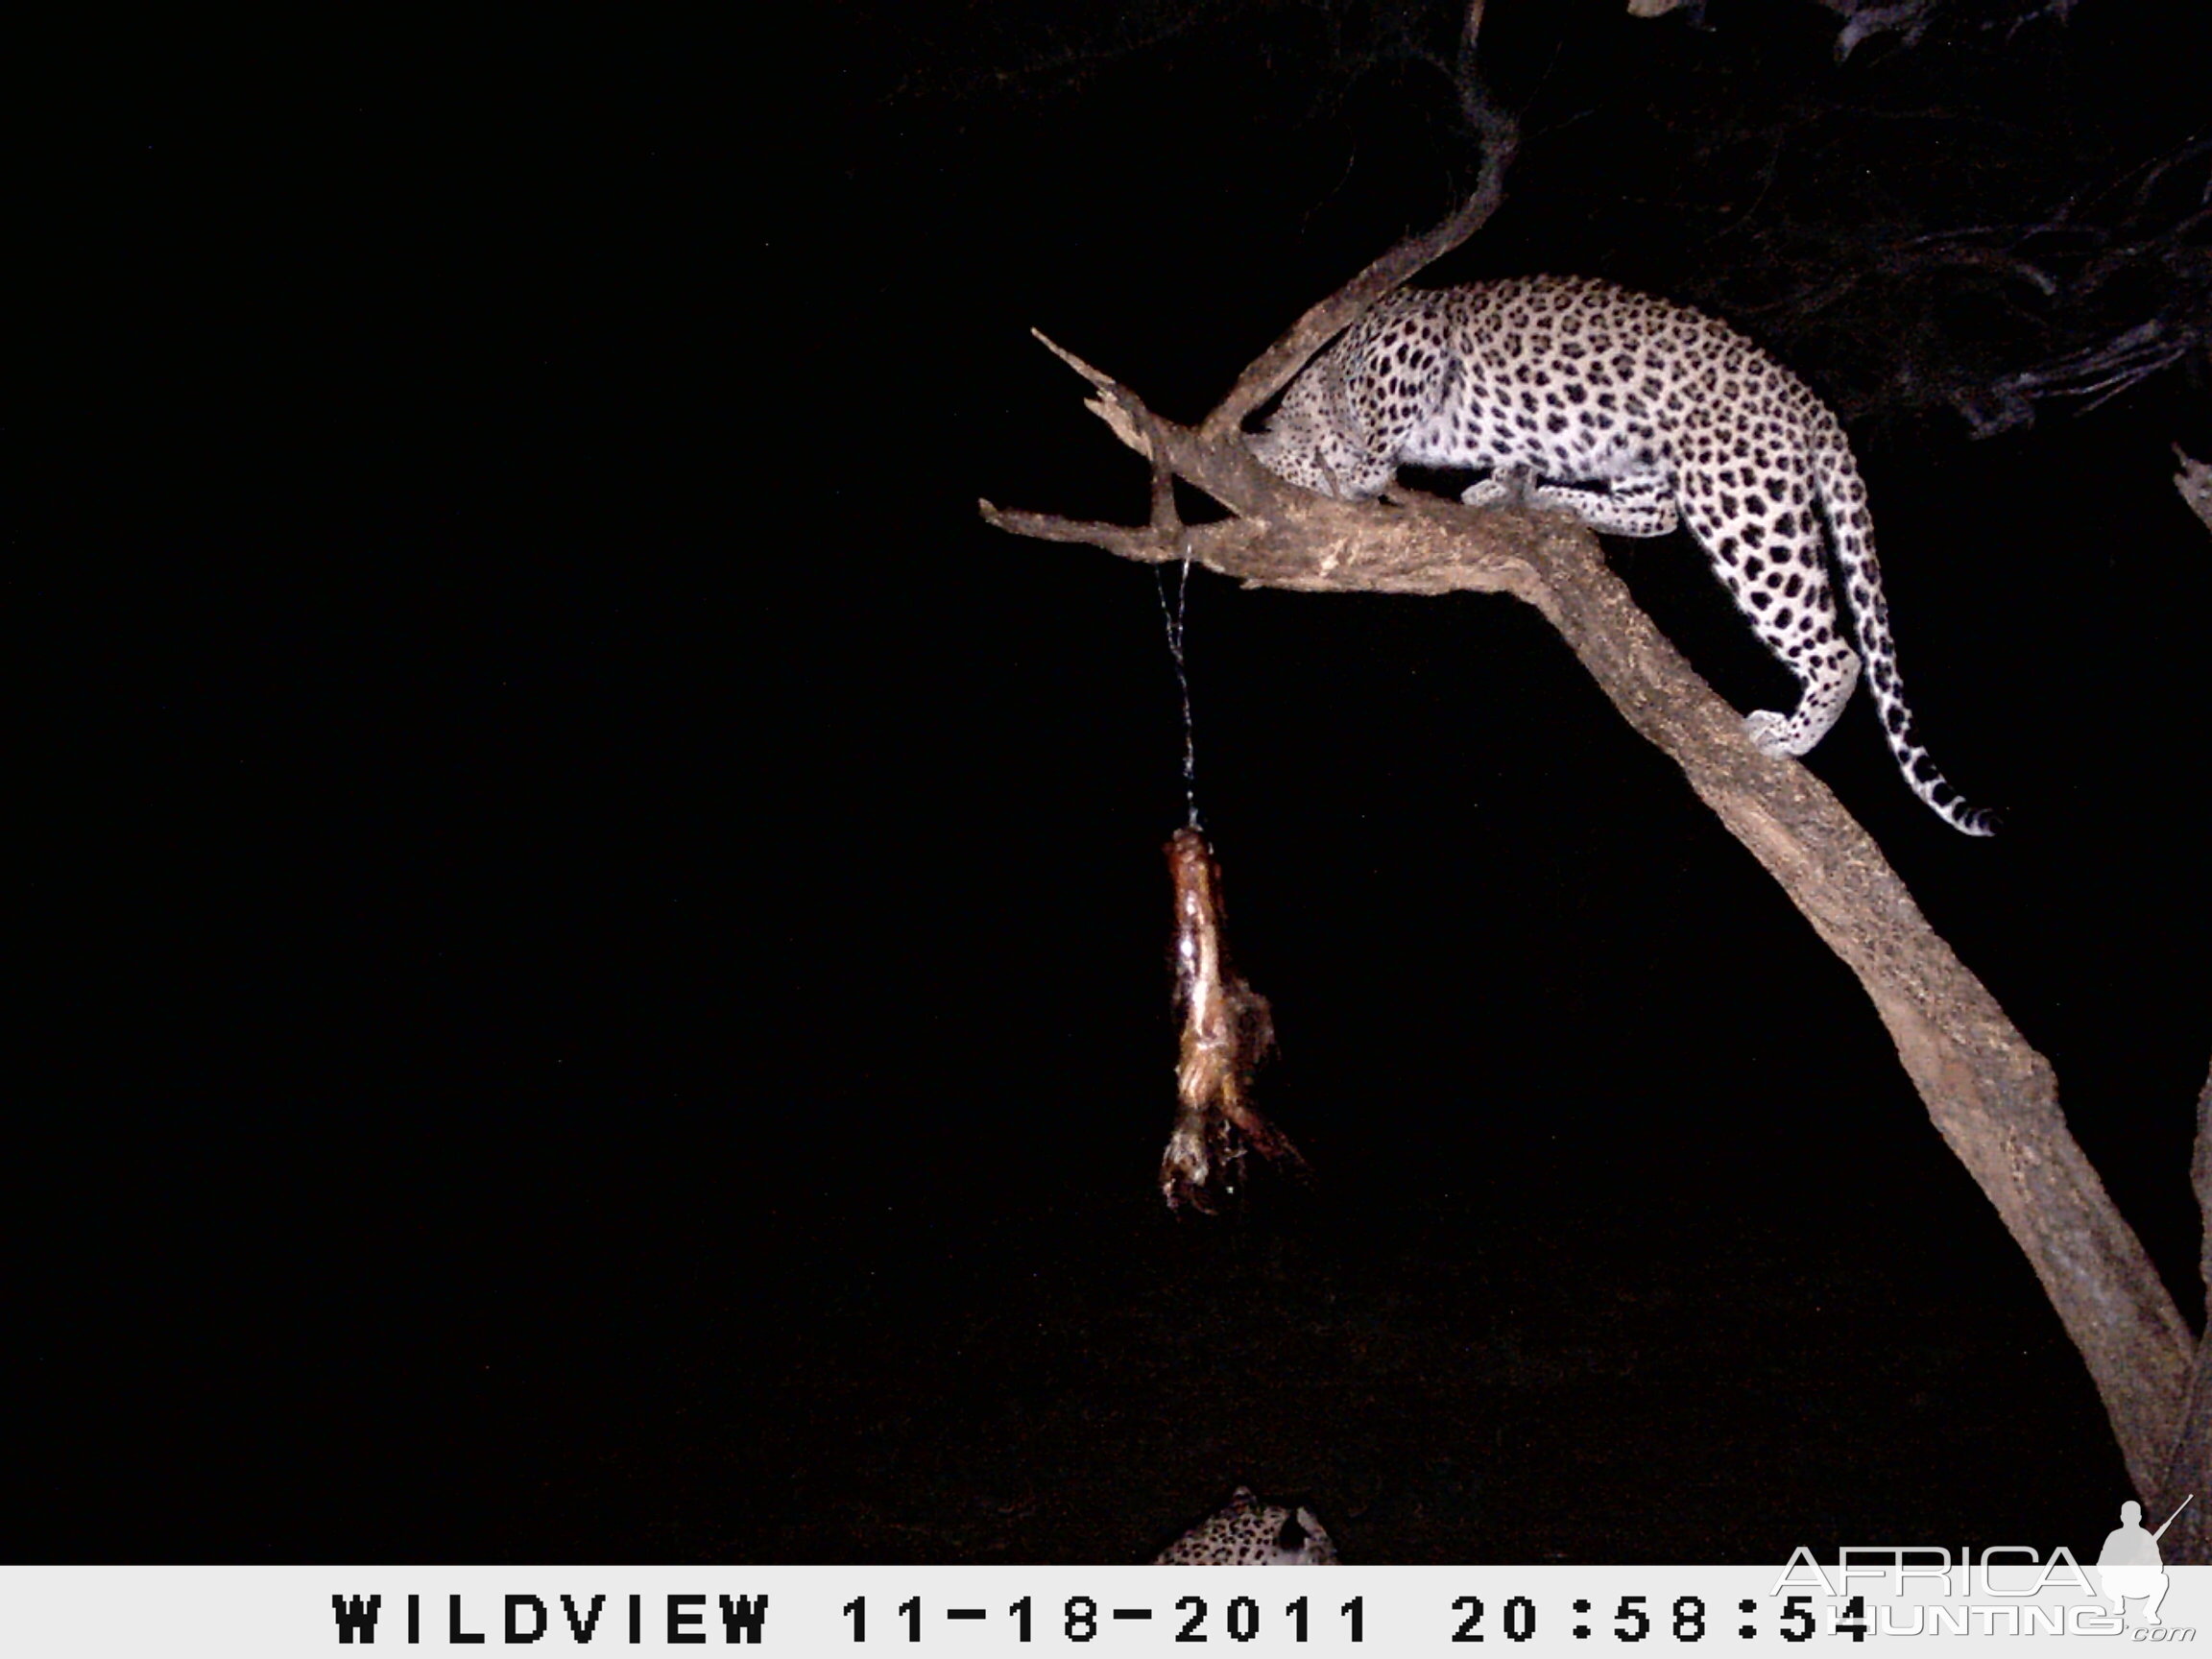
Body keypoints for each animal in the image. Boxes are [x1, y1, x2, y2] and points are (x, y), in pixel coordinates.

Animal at [1256, 280, 1999, 845]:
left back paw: (1790, 735)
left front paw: (1359, 470)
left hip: (1742, 502)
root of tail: (1803, 394)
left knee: (1838, 649)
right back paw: (1539, 495)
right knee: (1656, 510)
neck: (1320, 390)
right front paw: (1497, 480)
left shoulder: (1411, 340)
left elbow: (1379, 438)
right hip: (1638, 454)